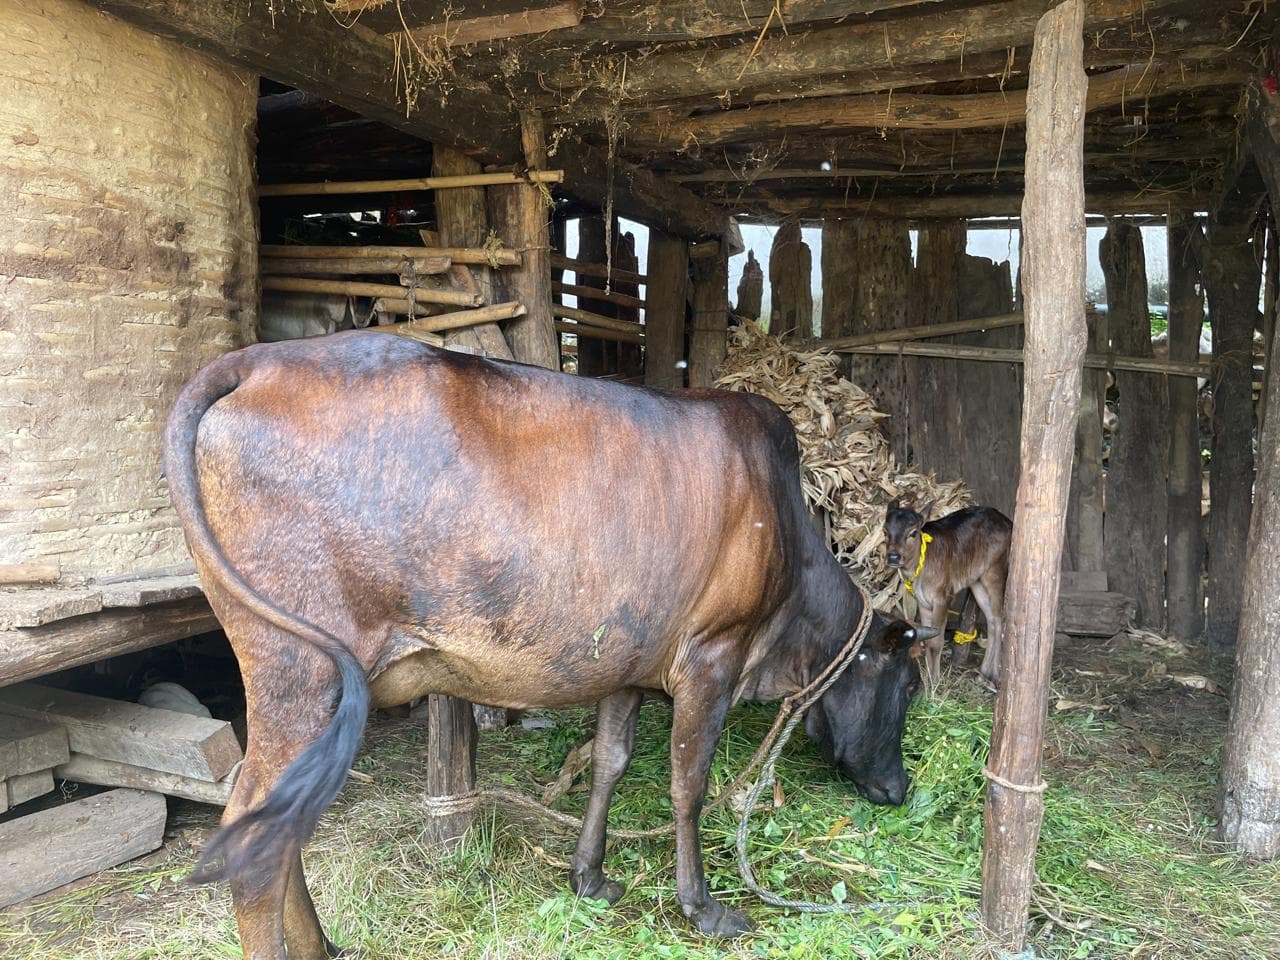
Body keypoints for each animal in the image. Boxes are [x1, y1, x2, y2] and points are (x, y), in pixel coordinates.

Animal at [162, 332, 933, 958]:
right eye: (907, 686)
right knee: (254, 835)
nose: (898, 790)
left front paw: (590, 875)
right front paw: (705, 908)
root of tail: (256, 361)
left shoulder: (628, 663)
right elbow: (687, 784)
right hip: (300, 673)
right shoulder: (712, 656)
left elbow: (611, 763)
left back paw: (321, 945)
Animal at [885, 501, 1012, 692]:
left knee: (999, 618)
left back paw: (994, 678)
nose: (893, 557)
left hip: (996, 570)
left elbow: (937, 641)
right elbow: (927, 639)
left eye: (913, 532)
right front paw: (928, 681)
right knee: (991, 619)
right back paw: (983, 675)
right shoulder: (922, 602)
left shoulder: (943, 597)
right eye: (885, 531)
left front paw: (935, 682)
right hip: (977, 581)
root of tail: (1008, 522)